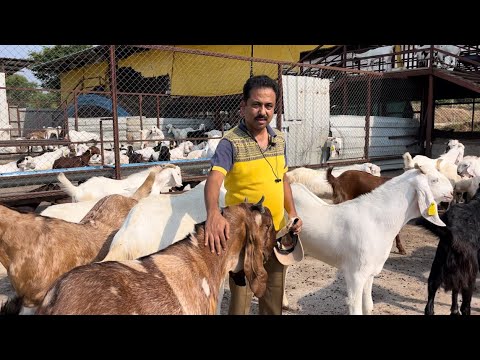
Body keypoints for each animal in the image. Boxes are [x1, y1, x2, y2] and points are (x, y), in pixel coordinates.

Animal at [288, 164, 454, 316]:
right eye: (434, 180)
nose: (452, 192)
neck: (376, 219)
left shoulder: (370, 271)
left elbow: (368, 306)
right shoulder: (355, 274)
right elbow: (355, 308)